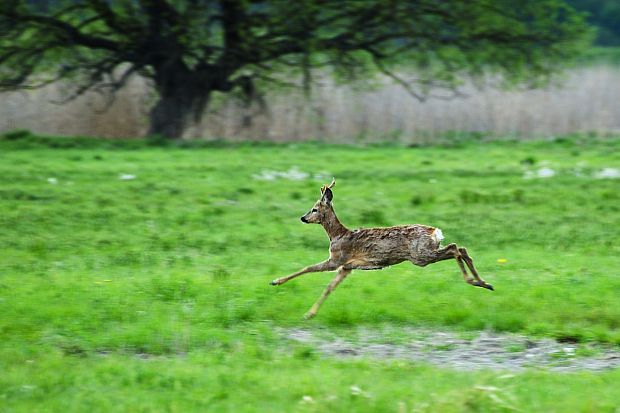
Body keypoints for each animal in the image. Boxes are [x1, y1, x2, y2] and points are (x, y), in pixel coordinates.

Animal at [272, 178, 494, 318]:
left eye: (314, 209)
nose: (303, 218)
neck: (337, 235)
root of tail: (434, 231)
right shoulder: (347, 267)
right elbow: (329, 288)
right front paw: (309, 314)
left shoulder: (337, 259)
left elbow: (308, 268)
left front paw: (276, 281)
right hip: (424, 254)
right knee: (461, 248)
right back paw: (484, 283)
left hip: (420, 255)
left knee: (455, 248)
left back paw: (476, 281)